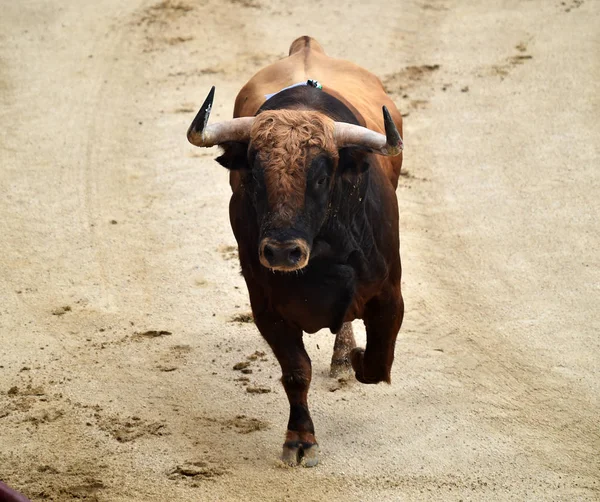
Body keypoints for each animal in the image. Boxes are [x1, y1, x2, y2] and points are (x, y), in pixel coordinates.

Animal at [186, 36, 404, 466]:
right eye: (253, 175)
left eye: (321, 177)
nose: (282, 252)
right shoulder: (267, 307)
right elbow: (296, 371)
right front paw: (301, 439)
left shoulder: (390, 297)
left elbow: (377, 362)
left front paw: (353, 358)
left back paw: (343, 358)